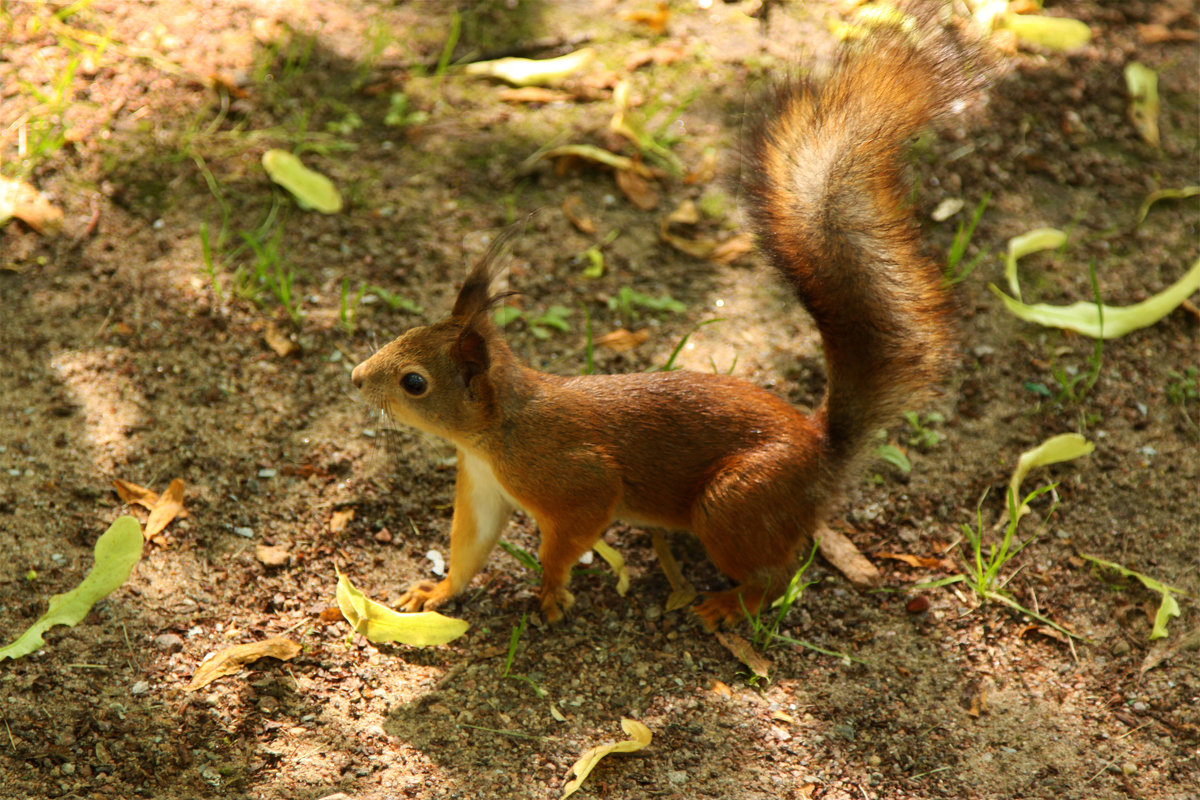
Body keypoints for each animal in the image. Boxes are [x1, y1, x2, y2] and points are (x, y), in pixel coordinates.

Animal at [350, 21, 979, 628]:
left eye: (414, 382)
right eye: (405, 334)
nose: (356, 379)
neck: (497, 430)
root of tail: (820, 457)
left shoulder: (577, 479)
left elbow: (570, 535)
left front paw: (551, 591)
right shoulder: (482, 485)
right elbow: (470, 548)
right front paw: (434, 592)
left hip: (732, 502)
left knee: (775, 578)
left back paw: (729, 605)